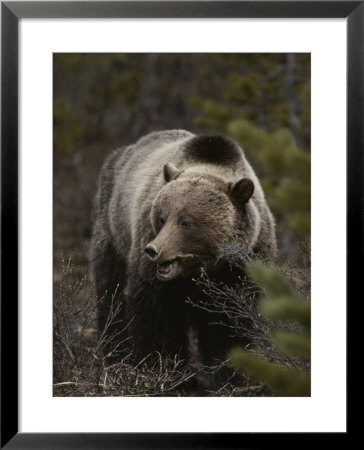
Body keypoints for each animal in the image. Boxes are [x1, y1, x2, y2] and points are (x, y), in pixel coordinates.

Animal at [89, 129, 276, 376]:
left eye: (186, 222)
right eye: (162, 217)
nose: (153, 250)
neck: (204, 268)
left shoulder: (243, 266)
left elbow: (231, 324)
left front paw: (229, 374)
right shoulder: (154, 275)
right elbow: (155, 318)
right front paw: (160, 367)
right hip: (113, 232)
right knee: (112, 295)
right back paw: (115, 353)